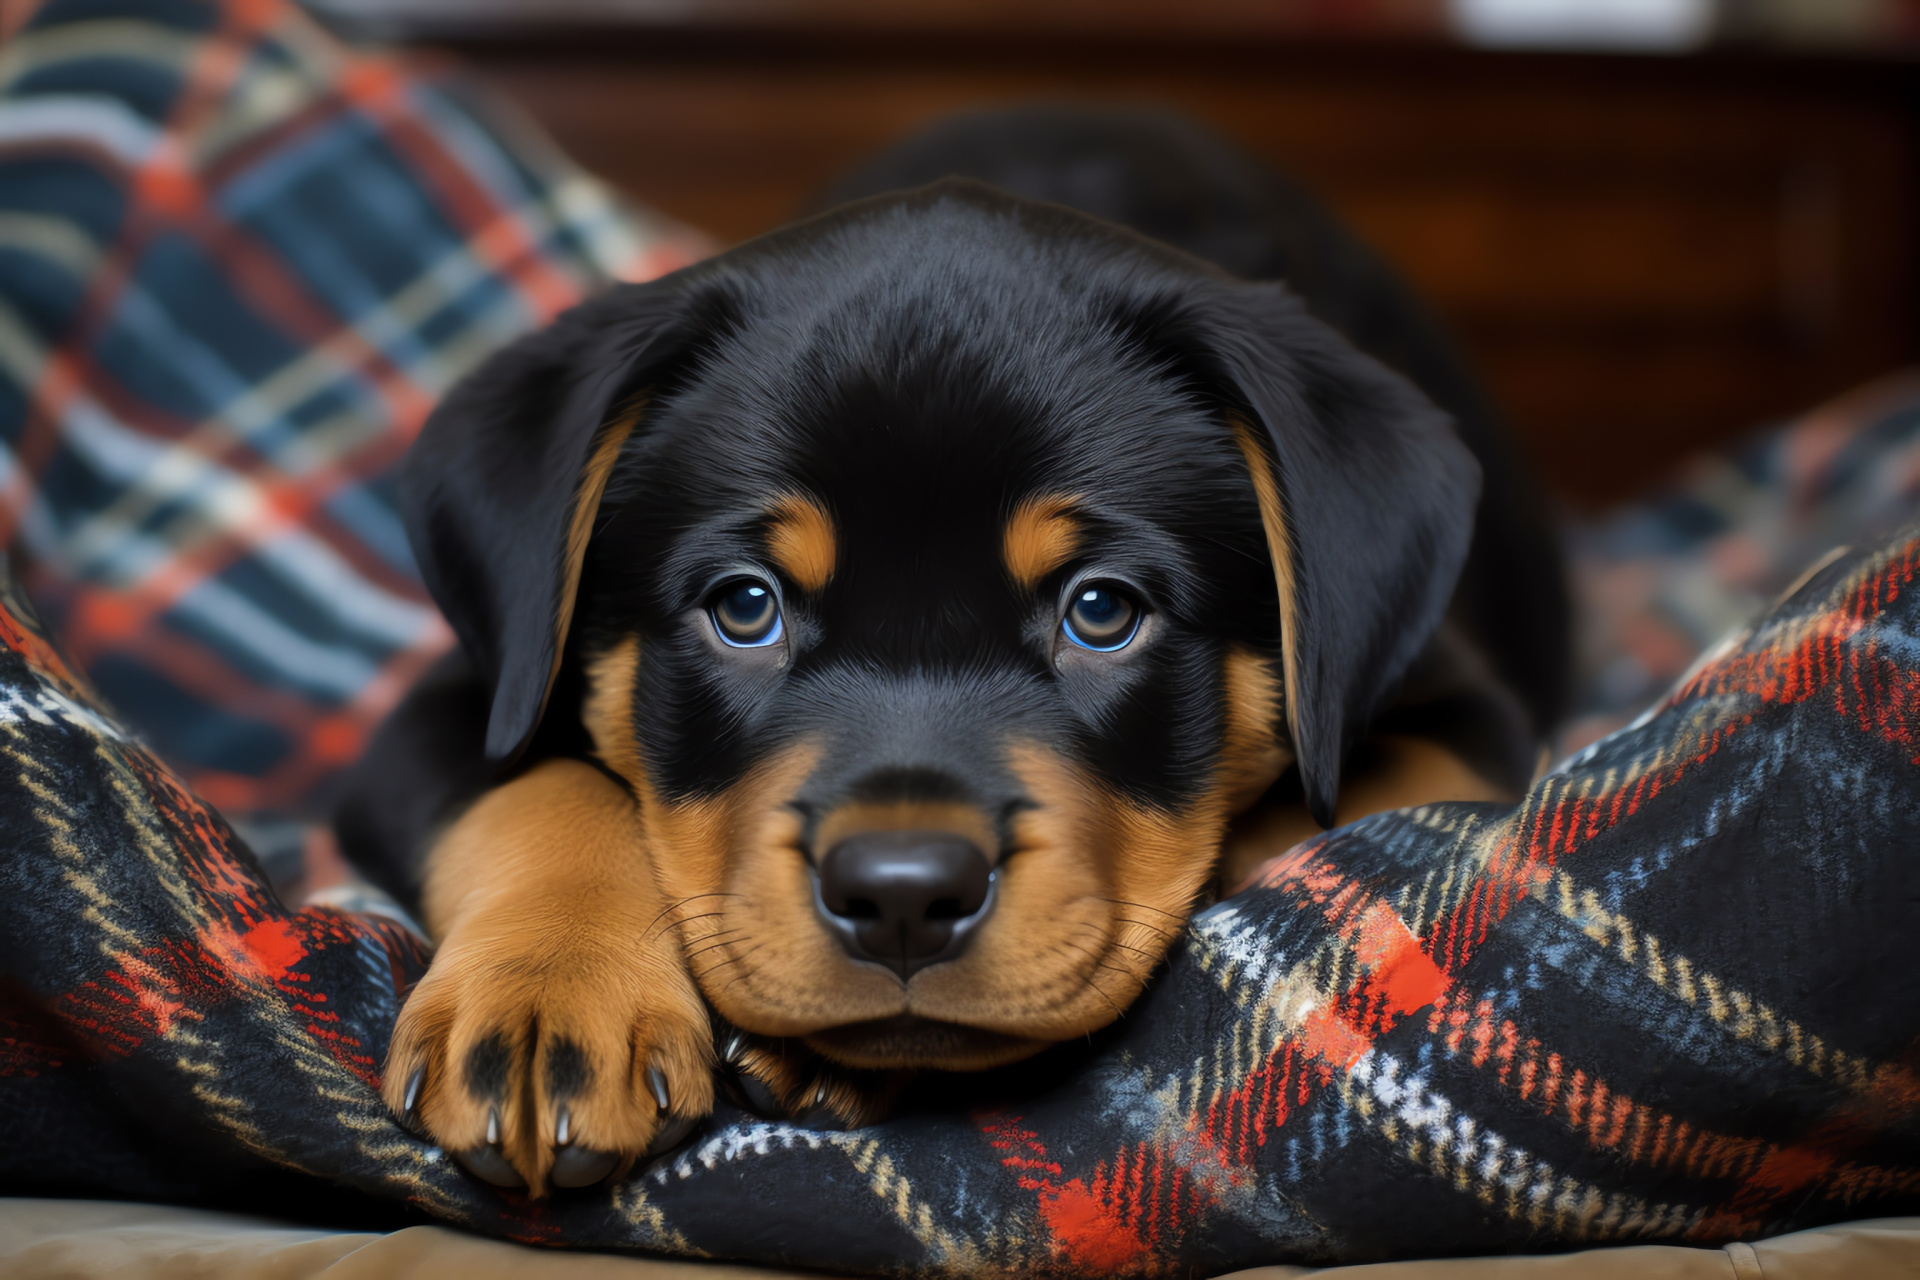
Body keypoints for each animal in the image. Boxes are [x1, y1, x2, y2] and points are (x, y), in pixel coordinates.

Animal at [334, 110, 1559, 1205]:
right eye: (745, 606)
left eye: (1101, 611)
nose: (902, 897)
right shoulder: (473, 686)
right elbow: (534, 792)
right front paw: (547, 998)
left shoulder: (1456, 713)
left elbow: (1317, 819)